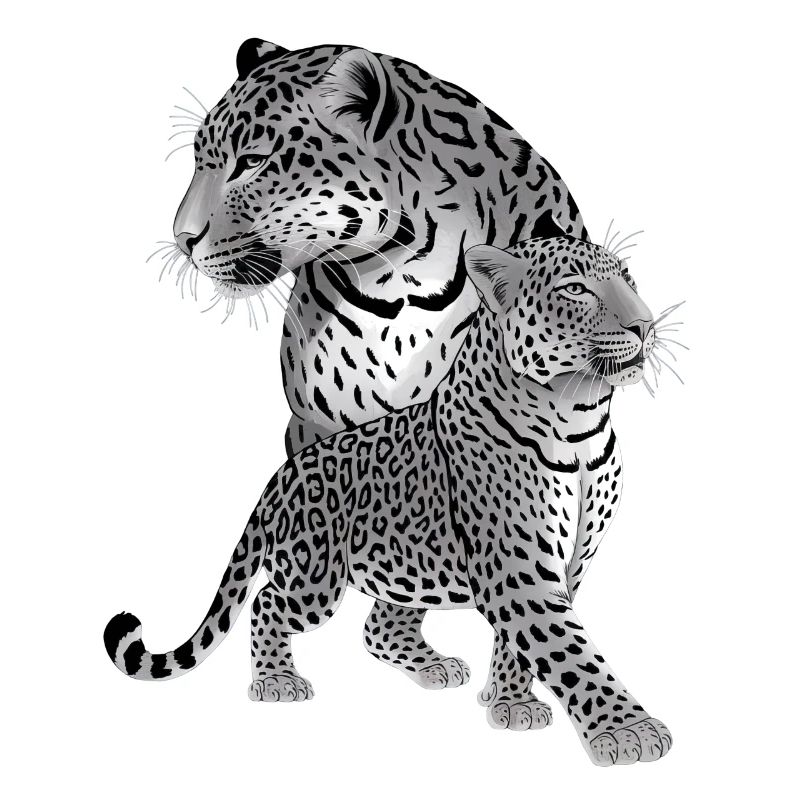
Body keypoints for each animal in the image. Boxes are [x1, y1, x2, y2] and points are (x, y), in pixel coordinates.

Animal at [107, 227, 673, 766]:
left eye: (628, 278)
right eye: (575, 289)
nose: (645, 325)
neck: (579, 422)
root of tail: (280, 478)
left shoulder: (563, 564)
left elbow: (525, 644)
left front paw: (509, 703)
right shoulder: (517, 567)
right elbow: (569, 652)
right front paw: (629, 732)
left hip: (411, 567)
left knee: (378, 627)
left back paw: (433, 666)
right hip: (316, 577)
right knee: (268, 602)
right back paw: (275, 681)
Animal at [168, 38, 589, 703]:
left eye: (253, 162)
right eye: (198, 160)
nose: (180, 238)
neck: (400, 280)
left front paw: (511, 692)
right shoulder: (314, 429)